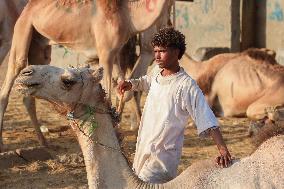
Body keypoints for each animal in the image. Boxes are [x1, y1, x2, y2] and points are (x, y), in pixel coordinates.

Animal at [0, 0, 173, 151]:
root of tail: (28, 7)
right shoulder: (105, 52)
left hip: (40, 45)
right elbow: (109, 96)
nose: (169, 24)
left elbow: (124, 88)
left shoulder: (115, 54)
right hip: (23, 29)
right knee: (14, 71)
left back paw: (44, 142)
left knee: (29, 93)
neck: (128, 15)